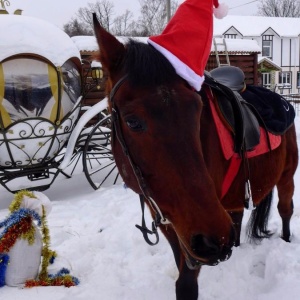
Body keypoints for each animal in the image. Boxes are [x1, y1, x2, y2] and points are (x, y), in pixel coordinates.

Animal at [92, 15, 298, 298]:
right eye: (132, 121)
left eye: (197, 110)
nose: (213, 240)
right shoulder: (173, 222)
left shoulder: (194, 230)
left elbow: (186, 284)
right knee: (237, 217)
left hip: (285, 177)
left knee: (285, 210)